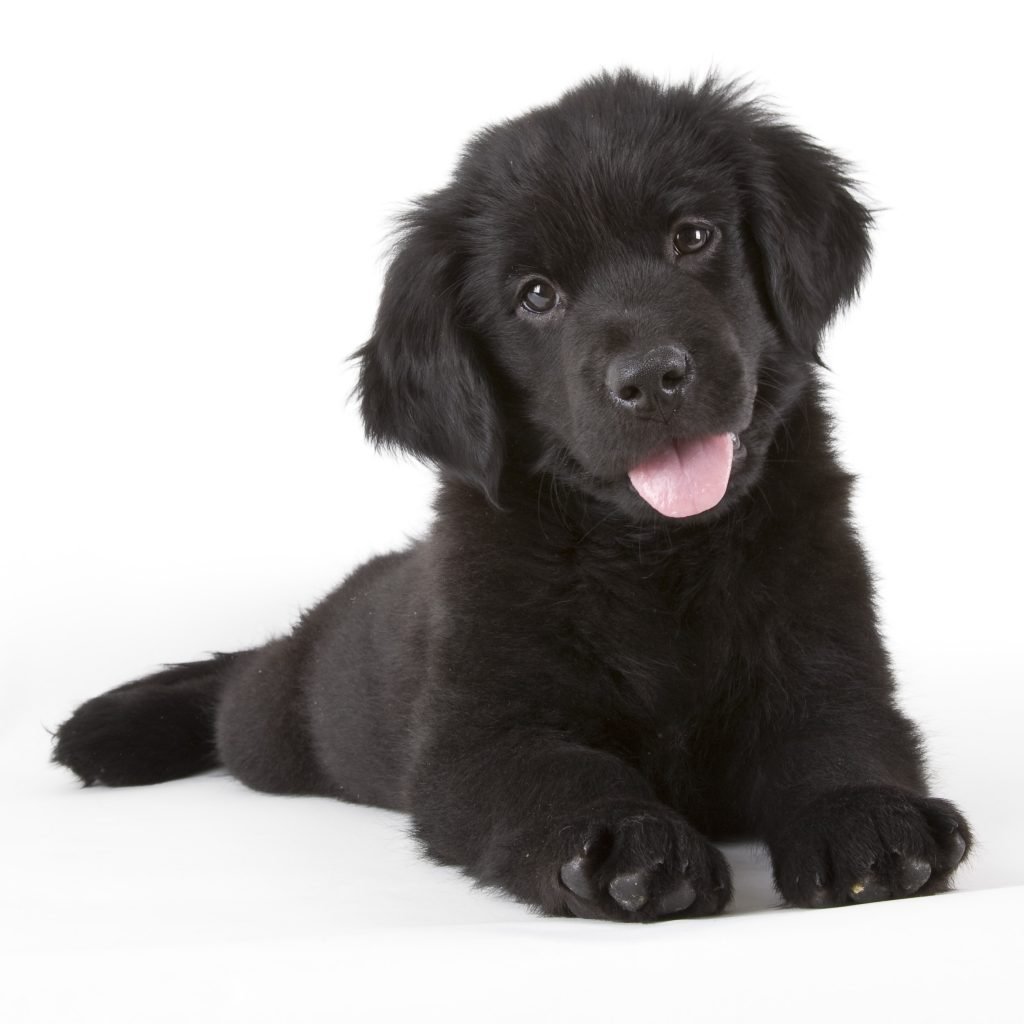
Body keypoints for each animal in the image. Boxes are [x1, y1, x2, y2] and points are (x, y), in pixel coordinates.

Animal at [53, 71, 972, 921]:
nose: (651, 376)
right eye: (536, 295)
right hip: (276, 728)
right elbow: (560, 771)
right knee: (237, 681)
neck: (659, 554)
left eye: (692, 236)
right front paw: (625, 842)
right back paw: (111, 731)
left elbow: (841, 740)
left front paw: (869, 820)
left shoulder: (831, 656)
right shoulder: (479, 732)